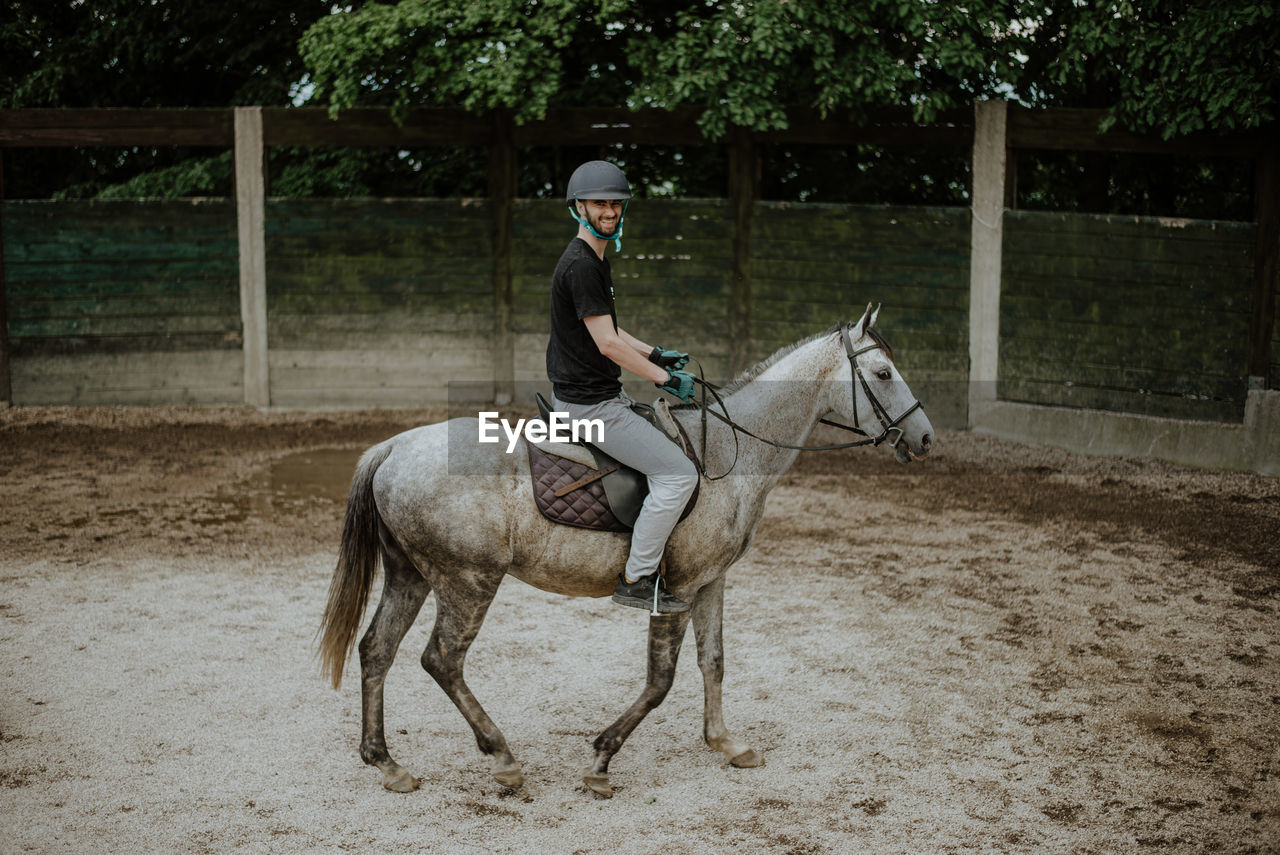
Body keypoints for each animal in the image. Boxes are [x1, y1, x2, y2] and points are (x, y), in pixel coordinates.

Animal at [322, 305, 931, 793]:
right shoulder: (676, 588)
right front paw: (601, 761)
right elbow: (661, 681)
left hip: (412, 574)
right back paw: (503, 758)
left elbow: (714, 662)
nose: (923, 438)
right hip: (468, 580)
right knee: (442, 659)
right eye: (882, 374)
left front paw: (727, 743)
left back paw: (387, 764)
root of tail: (394, 446)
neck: (730, 447)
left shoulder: (711, 580)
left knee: (377, 649)